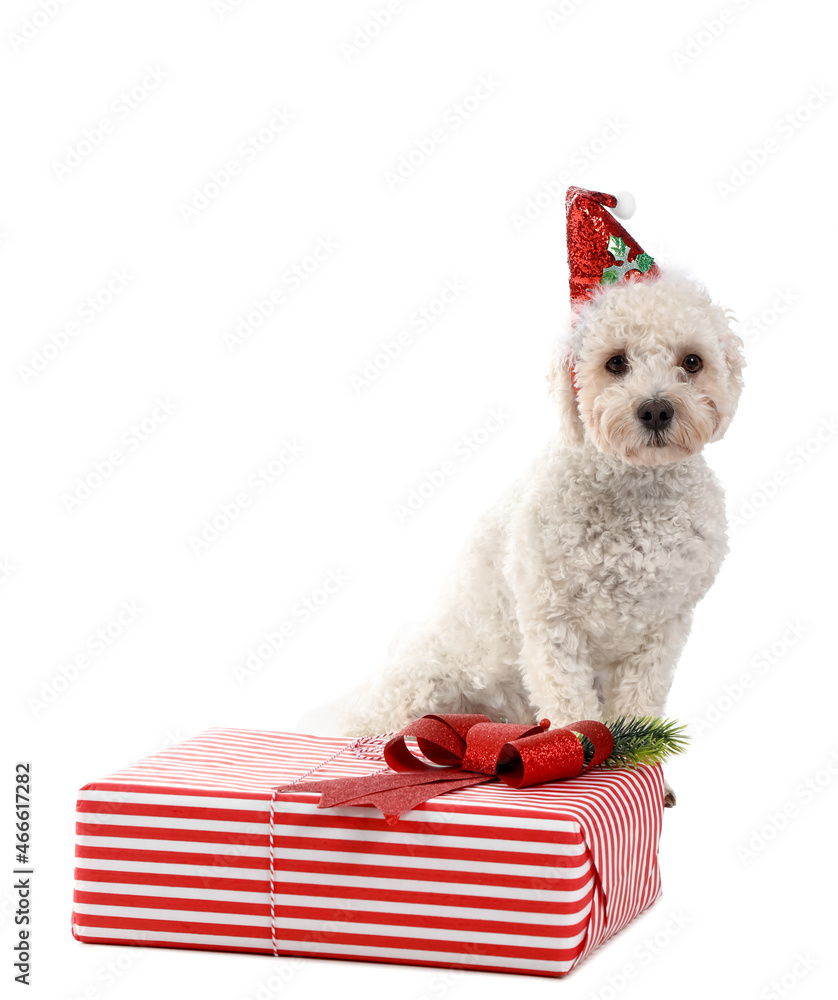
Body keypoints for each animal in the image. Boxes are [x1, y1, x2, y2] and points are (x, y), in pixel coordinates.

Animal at [338, 274, 744, 752]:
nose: (657, 409)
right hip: (424, 684)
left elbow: (639, 699)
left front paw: (640, 750)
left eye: (692, 361)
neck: (638, 493)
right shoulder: (552, 624)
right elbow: (570, 704)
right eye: (616, 362)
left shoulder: (662, 627)